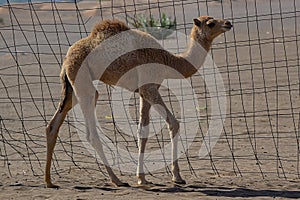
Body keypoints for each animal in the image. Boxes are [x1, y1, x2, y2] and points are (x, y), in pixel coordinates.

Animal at [45, 15, 232, 188]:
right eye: (211, 23)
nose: (228, 23)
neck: (168, 60)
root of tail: (66, 59)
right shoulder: (149, 87)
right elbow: (173, 123)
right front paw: (177, 177)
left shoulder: (143, 91)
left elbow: (142, 132)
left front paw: (142, 178)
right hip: (82, 80)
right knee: (91, 130)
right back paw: (117, 180)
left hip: (71, 88)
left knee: (53, 125)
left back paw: (49, 181)